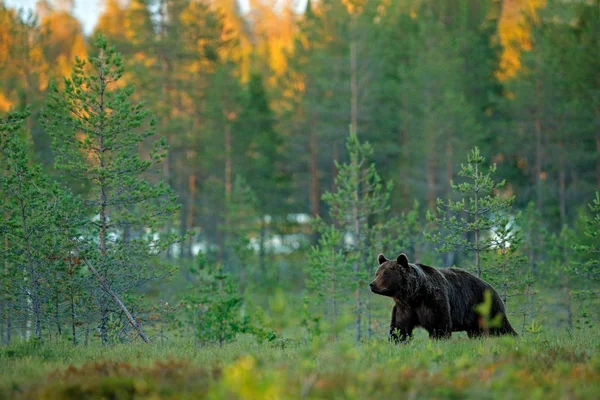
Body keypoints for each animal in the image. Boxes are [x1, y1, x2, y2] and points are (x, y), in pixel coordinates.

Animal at [370, 253, 516, 340]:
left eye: (385, 274)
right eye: (377, 273)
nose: (372, 285)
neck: (414, 296)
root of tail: (492, 288)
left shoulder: (433, 300)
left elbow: (439, 325)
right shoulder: (404, 308)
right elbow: (400, 328)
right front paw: (398, 340)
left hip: (484, 306)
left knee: (500, 327)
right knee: (476, 332)